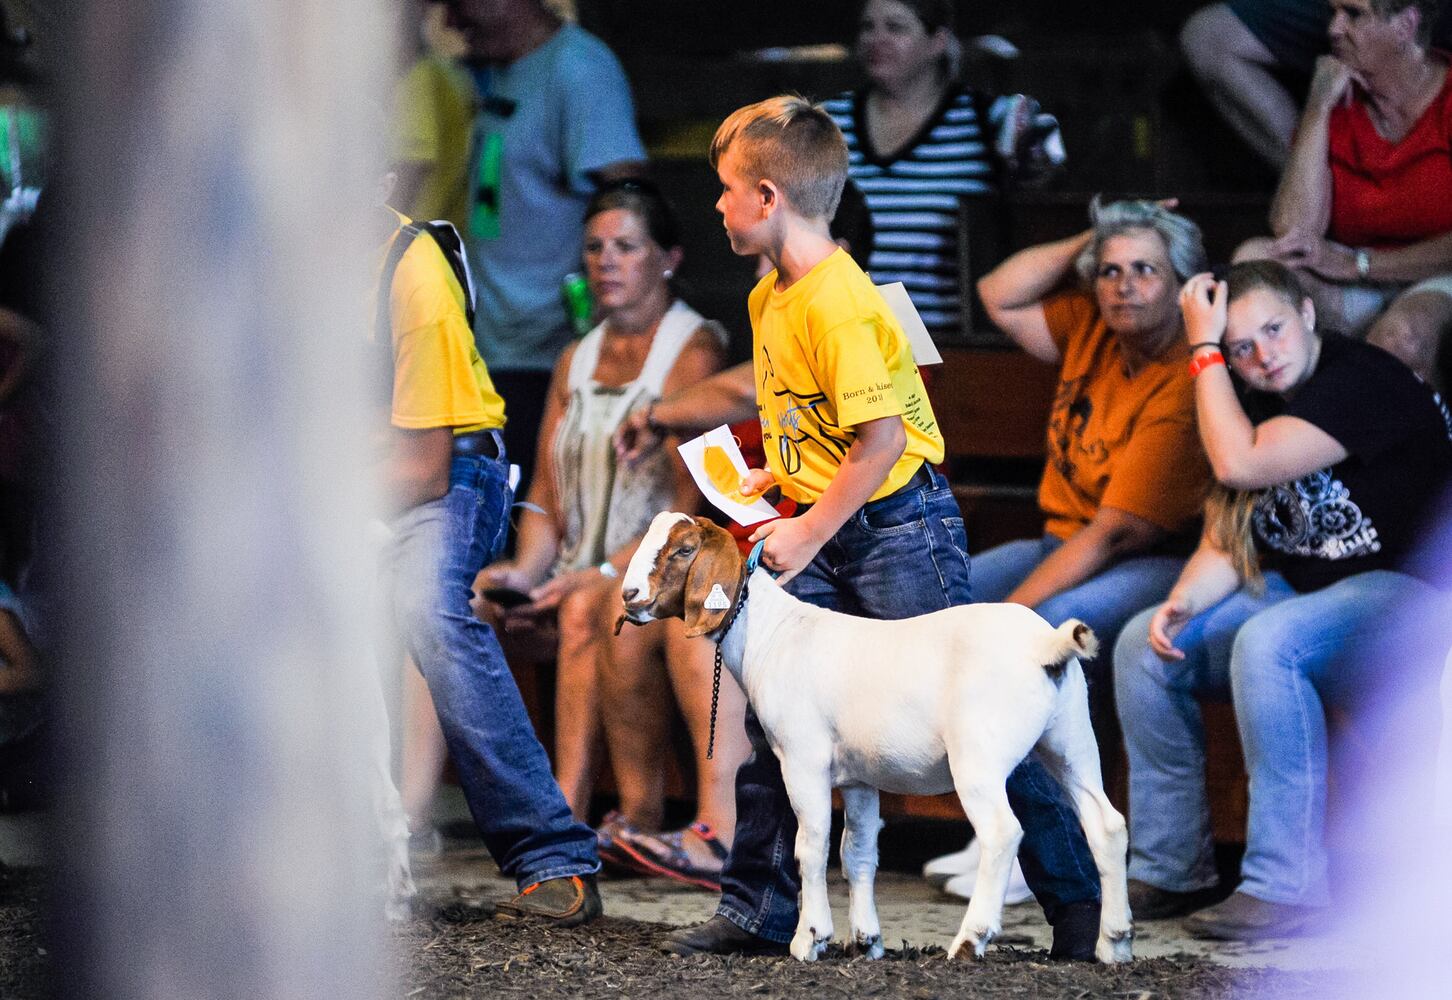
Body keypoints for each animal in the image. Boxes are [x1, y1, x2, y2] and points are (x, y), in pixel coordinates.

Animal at [615, 510, 1132, 963]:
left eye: (684, 550)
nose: (629, 594)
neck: (773, 634)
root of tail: (1048, 645)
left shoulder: (803, 760)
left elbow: (812, 847)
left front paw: (810, 939)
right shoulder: (859, 777)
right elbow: (858, 852)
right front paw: (866, 941)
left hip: (980, 756)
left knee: (1003, 833)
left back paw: (970, 941)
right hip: (1070, 738)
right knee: (1105, 823)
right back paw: (1114, 943)